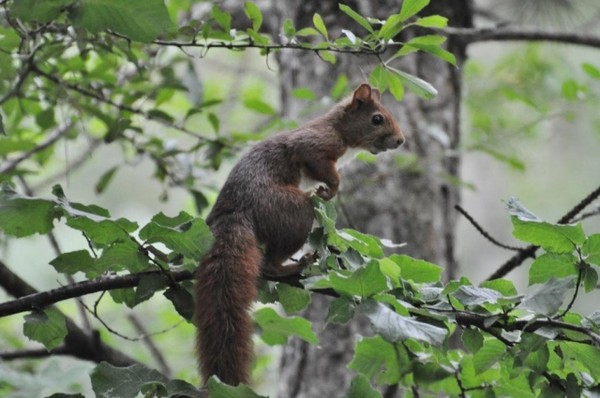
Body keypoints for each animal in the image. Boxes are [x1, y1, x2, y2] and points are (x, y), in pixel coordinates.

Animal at [195, 83, 406, 386]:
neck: (340, 130)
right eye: (377, 119)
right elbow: (322, 166)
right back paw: (292, 266)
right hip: (293, 212)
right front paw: (330, 189)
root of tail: (235, 211)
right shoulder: (316, 144)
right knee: (269, 263)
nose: (400, 140)